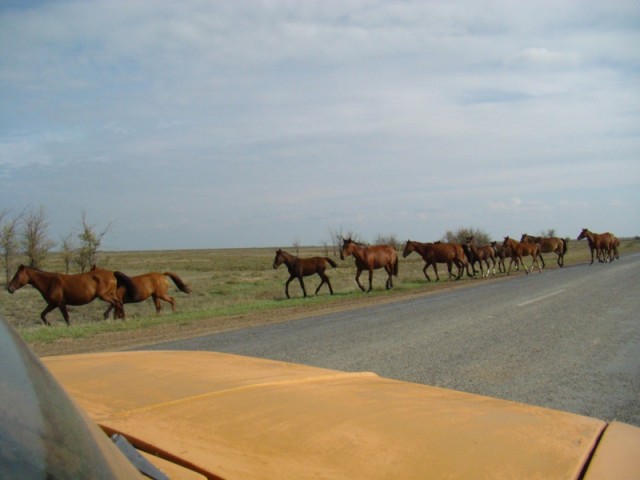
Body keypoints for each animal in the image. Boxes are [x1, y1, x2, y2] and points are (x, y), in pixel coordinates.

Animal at [7, 262, 135, 326]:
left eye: (17, 275)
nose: (9, 289)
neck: (50, 282)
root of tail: (112, 274)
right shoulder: (52, 304)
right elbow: (42, 314)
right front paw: (49, 324)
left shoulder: (60, 304)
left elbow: (66, 318)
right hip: (108, 295)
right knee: (117, 303)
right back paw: (117, 317)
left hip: (104, 295)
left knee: (117, 303)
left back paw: (120, 318)